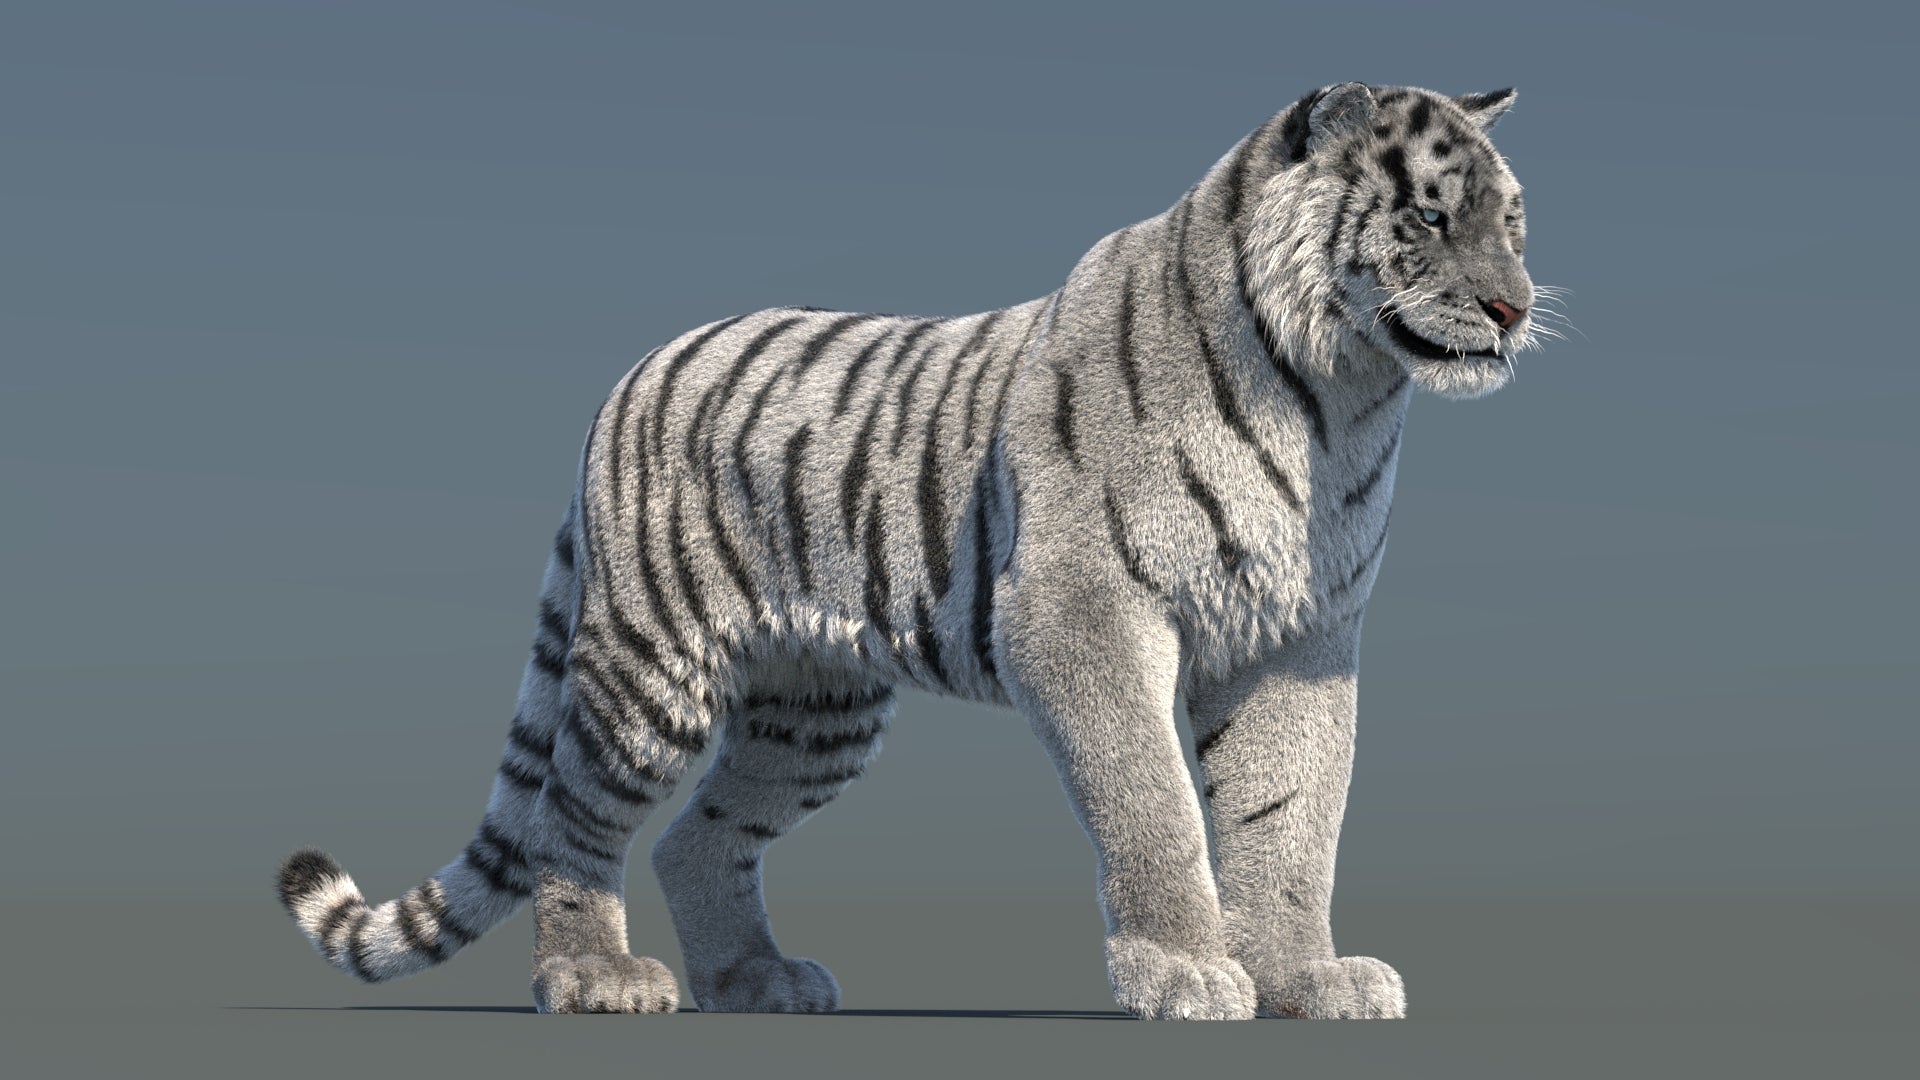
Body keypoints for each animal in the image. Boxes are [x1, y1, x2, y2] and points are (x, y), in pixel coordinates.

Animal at [276, 81, 1543, 1021]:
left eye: (1514, 219)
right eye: (1431, 218)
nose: (1515, 310)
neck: (1334, 395)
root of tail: (639, 366)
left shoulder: (1302, 635)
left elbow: (1289, 817)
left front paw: (1300, 977)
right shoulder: (1084, 612)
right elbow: (1156, 800)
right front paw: (1183, 971)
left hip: (814, 708)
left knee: (698, 838)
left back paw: (755, 980)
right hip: (648, 669)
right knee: (570, 817)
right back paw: (594, 978)